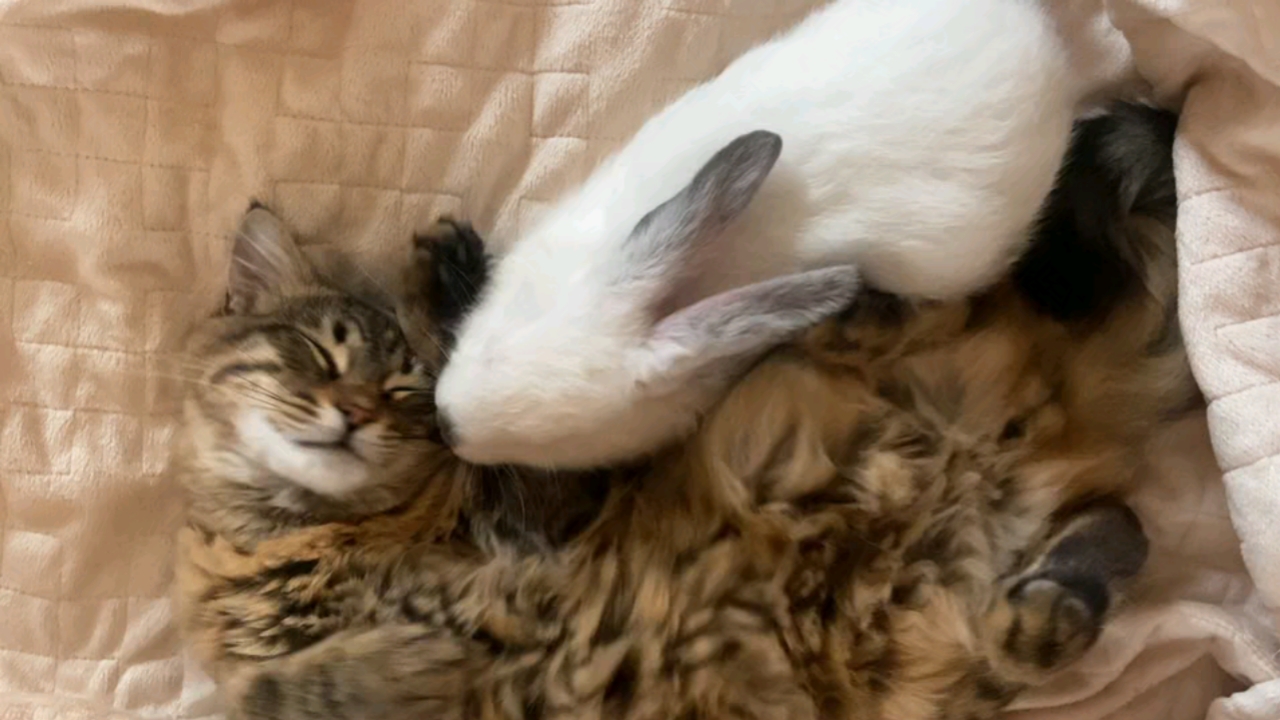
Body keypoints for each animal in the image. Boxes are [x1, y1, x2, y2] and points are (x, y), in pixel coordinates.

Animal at [175, 102, 1192, 717]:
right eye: (321, 355)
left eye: (401, 393)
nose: (352, 412)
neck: (297, 544)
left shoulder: (555, 512)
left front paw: (444, 281)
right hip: (936, 651)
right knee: (1067, 593)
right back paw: (1082, 569)